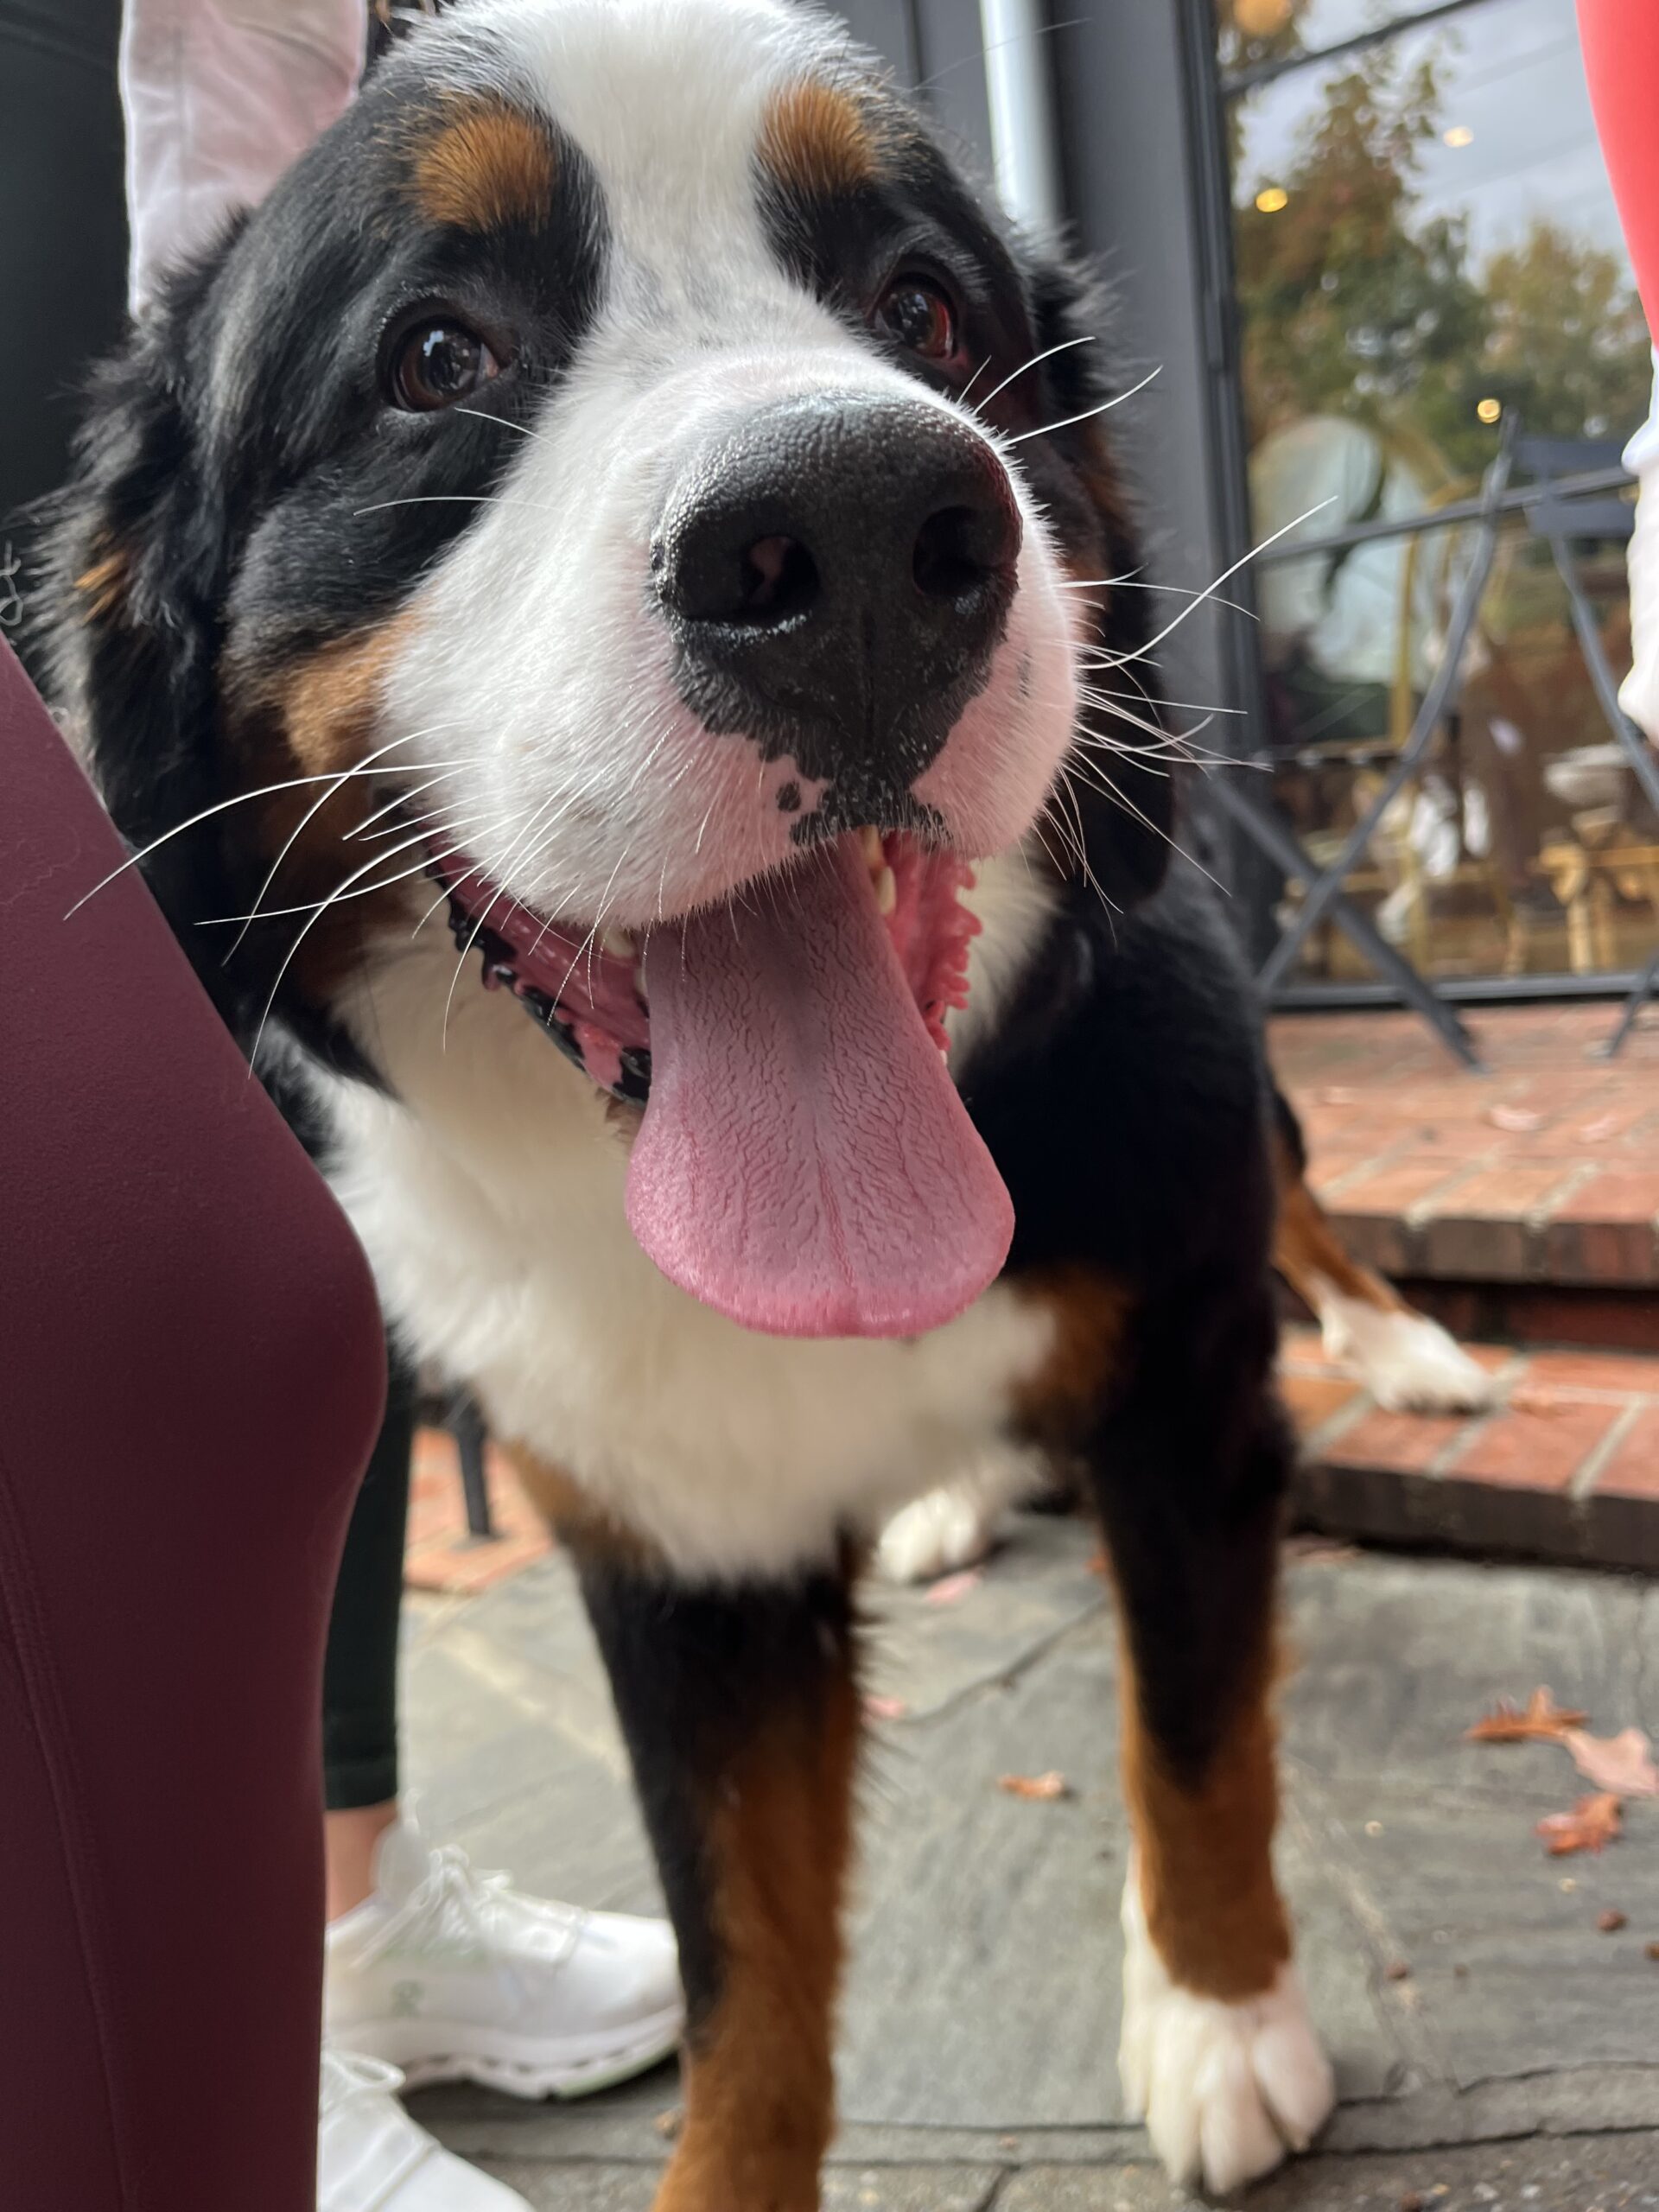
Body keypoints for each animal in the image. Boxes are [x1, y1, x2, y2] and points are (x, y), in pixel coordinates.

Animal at [47, 1, 1344, 2194]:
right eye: (437, 356)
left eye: (920, 305)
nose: (853, 534)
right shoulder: (672, 1550)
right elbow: (744, 1953)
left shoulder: (1182, 1365)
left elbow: (1197, 1735)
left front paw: (1220, 2006)